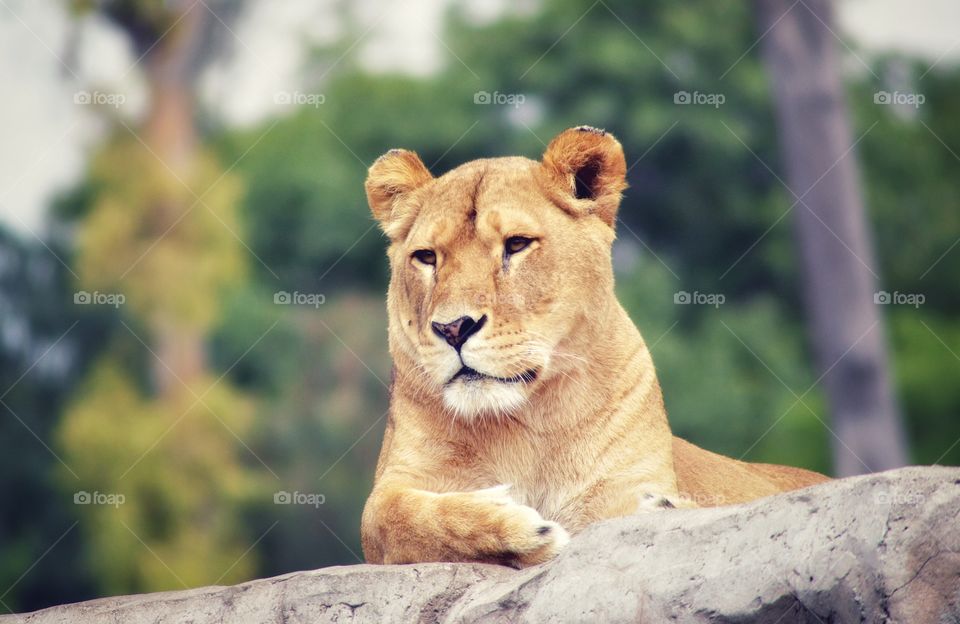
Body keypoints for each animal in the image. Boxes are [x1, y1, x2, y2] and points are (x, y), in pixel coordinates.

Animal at [360, 126, 829, 568]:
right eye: (426, 257)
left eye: (516, 244)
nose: (454, 327)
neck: (521, 422)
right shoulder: (392, 490)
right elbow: (395, 518)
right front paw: (518, 525)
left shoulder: (623, 489)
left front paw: (662, 507)